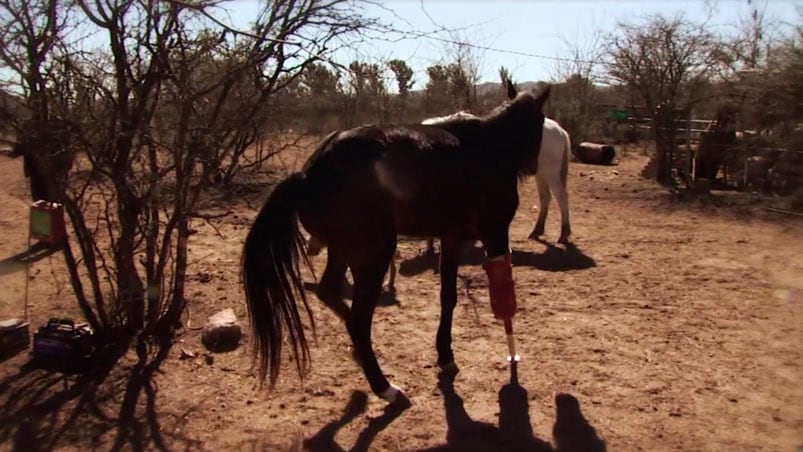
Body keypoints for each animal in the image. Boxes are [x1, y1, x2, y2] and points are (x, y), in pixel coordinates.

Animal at [242, 84, 548, 402]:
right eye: (541, 122)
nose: (531, 166)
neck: (491, 147)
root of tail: (308, 176)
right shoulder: (496, 235)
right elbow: (504, 304)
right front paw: (511, 361)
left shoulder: (451, 238)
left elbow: (448, 297)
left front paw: (445, 355)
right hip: (373, 256)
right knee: (358, 322)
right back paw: (383, 386)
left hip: (342, 252)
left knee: (330, 293)